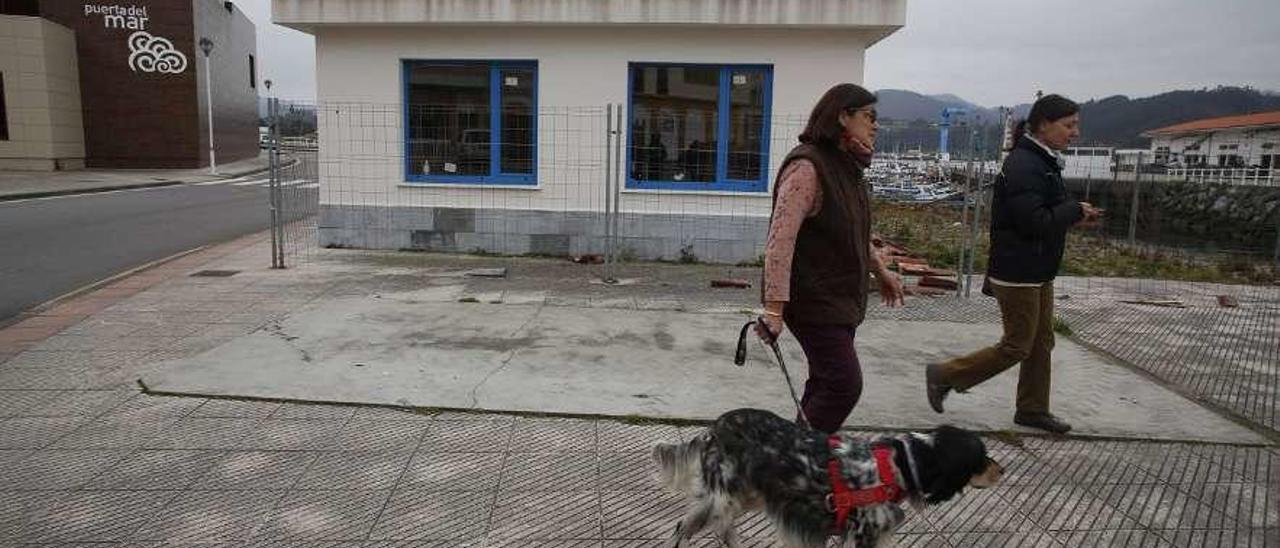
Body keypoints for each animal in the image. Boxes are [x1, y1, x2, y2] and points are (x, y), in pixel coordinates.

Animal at [655, 409, 1003, 545]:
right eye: (981, 457)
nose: (1002, 470)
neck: (897, 464)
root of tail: (715, 426)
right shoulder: (862, 534)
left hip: (741, 496)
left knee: (686, 526)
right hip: (725, 497)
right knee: (716, 530)